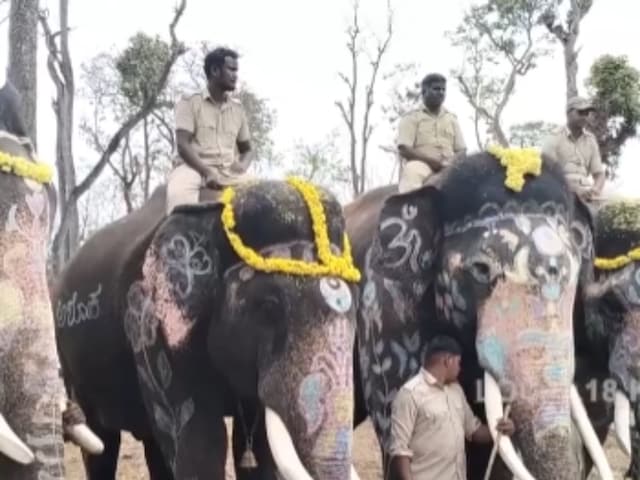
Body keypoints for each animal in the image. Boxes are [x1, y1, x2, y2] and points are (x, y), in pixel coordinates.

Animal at [53, 179, 364, 480]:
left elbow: (257, 447)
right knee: (103, 444)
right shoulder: (153, 325)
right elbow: (200, 440)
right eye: (268, 307)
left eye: (355, 309)